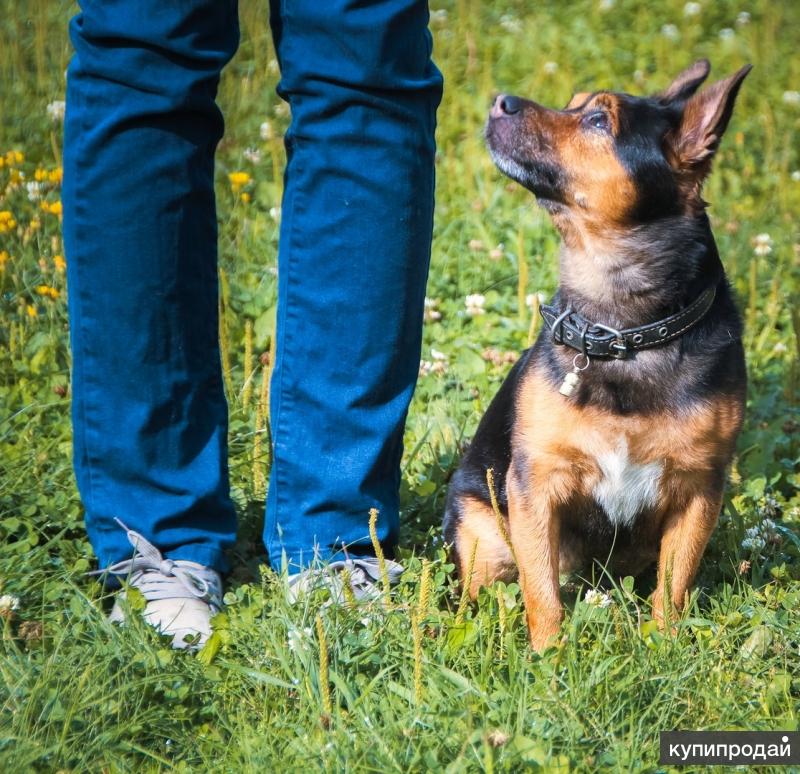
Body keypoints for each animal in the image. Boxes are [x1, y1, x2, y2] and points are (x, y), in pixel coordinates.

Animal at [444, 60, 752, 652]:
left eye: (596, 120)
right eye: (573, 102)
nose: (500, 101)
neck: (624, 334)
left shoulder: (699, 489)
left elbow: (673, 587)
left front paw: (665, 646)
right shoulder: (535, 487)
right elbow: (541, 591)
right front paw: (548, 658)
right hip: (482, 537)